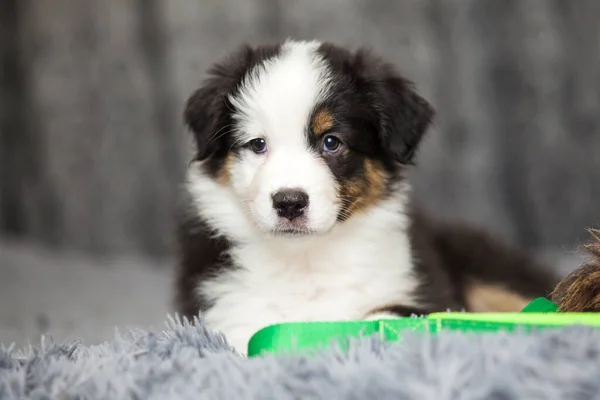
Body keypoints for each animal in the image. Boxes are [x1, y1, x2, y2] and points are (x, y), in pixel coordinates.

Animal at [176, 39, 560, 354]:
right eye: (257, 144)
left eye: (332, 142)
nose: (288, 202)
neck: (305, 259)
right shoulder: (226, 309)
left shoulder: (417, 293)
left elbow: (383, 319)